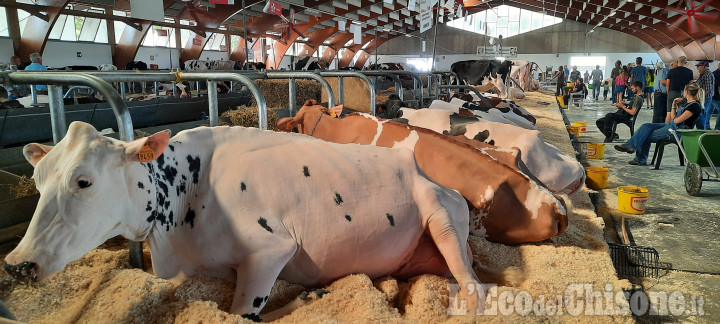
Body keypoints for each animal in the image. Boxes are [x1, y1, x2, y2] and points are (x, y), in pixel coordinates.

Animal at [2, 122, 486, 322]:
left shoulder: (270, 249)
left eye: (83, 180)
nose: (17, 263)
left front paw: (309, 298)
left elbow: (242, 316)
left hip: (441, 215)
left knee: (475, 285)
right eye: (37, 180)